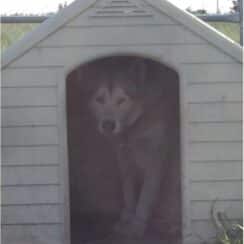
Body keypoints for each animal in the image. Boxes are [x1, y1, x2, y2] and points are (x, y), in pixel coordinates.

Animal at [80, 56, 177, 238]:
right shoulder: (124, 157)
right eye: (99, 99)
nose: (108, 125)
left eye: (122, 100)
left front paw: (137, 227)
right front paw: (127, 218)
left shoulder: (155, 159)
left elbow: (146, 197)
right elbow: (128, 192)